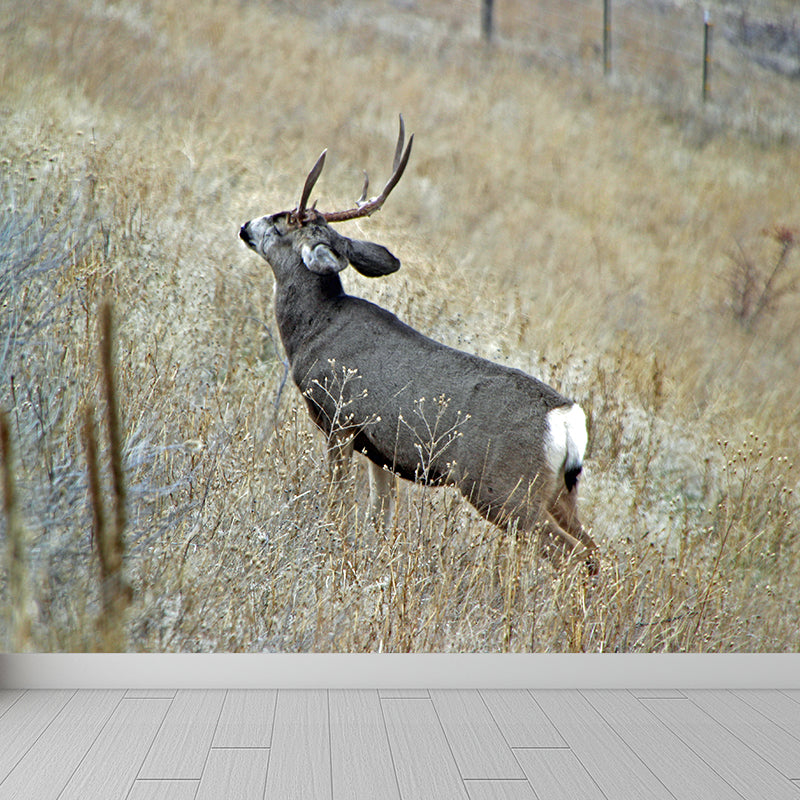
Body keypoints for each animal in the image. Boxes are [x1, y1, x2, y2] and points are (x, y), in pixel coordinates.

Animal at [239, 117, 598, 572]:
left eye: (281, 220)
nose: (245, 227)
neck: (316, 327)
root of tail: (567, 419)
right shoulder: (379, 449)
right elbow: (380, 515)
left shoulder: (340, 420)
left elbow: (338, 501)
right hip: (558, 491)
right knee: (595, 551)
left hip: (503, 487)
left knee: (572, 554)